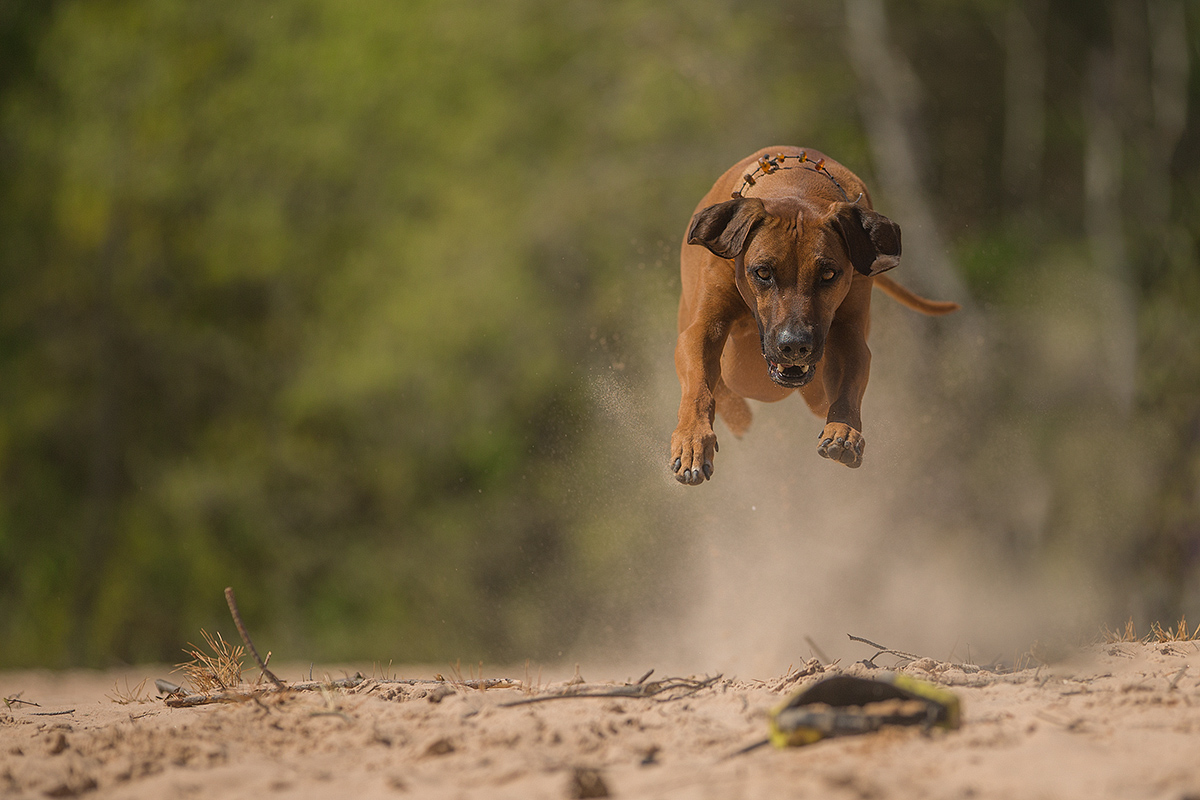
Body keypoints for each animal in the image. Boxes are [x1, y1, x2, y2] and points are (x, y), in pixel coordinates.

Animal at [676, 146, 955, 484]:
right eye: (763, 272)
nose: (794, 345)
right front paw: (692, 440)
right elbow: (699, 382)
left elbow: (850, 374)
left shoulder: (848, 330)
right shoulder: (705, 326)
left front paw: (844, 431)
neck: (796, 187)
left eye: (828, 274)